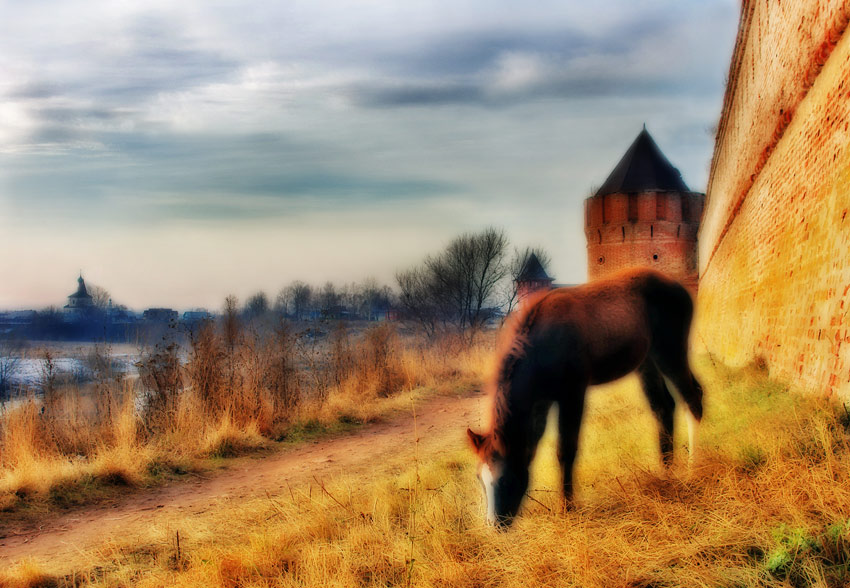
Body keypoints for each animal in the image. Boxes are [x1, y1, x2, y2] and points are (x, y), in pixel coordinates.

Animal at [468, 268, 700, 532]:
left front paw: (567, 507)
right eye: (479, 478)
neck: (542, 344)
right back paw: (666, 471)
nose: (494, 525)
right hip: (647, 362)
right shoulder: (541, 402)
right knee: (665, 407)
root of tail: (678, 287)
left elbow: (565, 450)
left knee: (693, 399)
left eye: (505, 479)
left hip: (670, 354)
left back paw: (693, 469)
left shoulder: (572, 394)